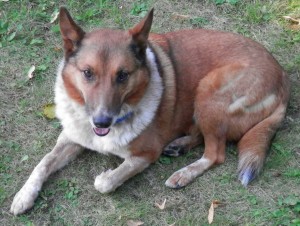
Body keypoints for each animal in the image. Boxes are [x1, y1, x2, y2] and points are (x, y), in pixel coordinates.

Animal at [10, 7, 290, 215]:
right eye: (87, 73)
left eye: (123, 75)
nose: (101, 122)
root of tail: (282, 77)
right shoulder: (71, 138)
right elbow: (43, 163)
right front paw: (23, 195)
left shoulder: (145, 154)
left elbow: (106, 182)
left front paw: (105, 176)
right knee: (202, 136)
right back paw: (179, 145)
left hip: (209, 91)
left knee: (216, 154)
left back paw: (183, 174)